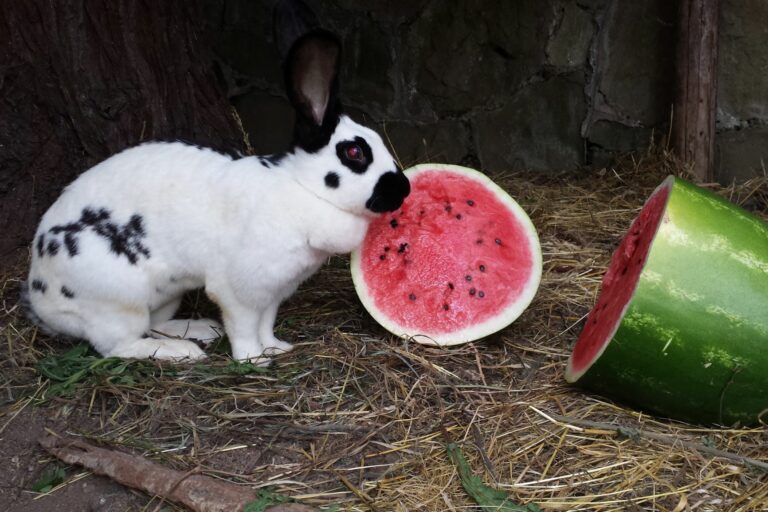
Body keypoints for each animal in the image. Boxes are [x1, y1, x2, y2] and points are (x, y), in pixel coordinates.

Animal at [22, 29, 408, 364]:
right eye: (355, 153)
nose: (403, 189)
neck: (302, 189)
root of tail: (41, 301)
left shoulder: (274, 293)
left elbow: (266, 324)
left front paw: (276, 347)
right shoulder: (240, 290)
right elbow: (244, 327)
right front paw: (253, 359)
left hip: (166, 294)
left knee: (155, 324)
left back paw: (200, 329)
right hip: (116, 300)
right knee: (120, 345)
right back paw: (182, 353)